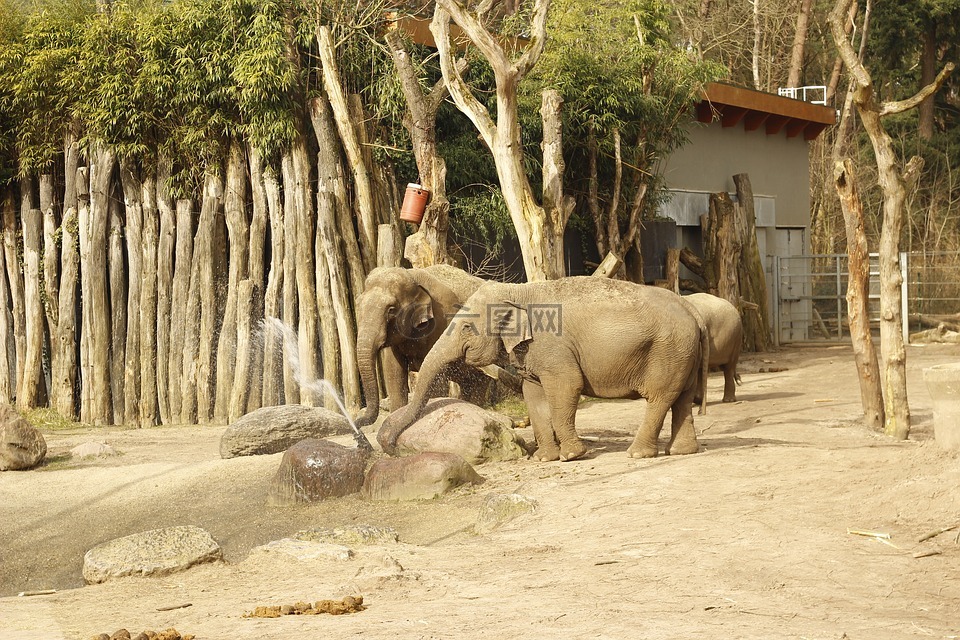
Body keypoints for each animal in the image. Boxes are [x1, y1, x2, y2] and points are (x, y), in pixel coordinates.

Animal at [354, 264, 491, 428]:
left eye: (391, 310)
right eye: (358, 304)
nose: (356, 422)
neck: (412, 275)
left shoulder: (443, 319)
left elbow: (435, 376)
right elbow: (393, 374)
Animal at [379, 277, 706, 462]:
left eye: (467, 328)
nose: (388, 445)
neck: (518, 292)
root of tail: (693, 311)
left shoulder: (552, 347)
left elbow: (567, 385)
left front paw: (571, 456)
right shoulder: (531, 352)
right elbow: (534, 396)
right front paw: (544, 459)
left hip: (667, 351)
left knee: (660, 398)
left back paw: (638, 453)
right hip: (682, 354)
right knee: (682, 398)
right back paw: (680, 452)